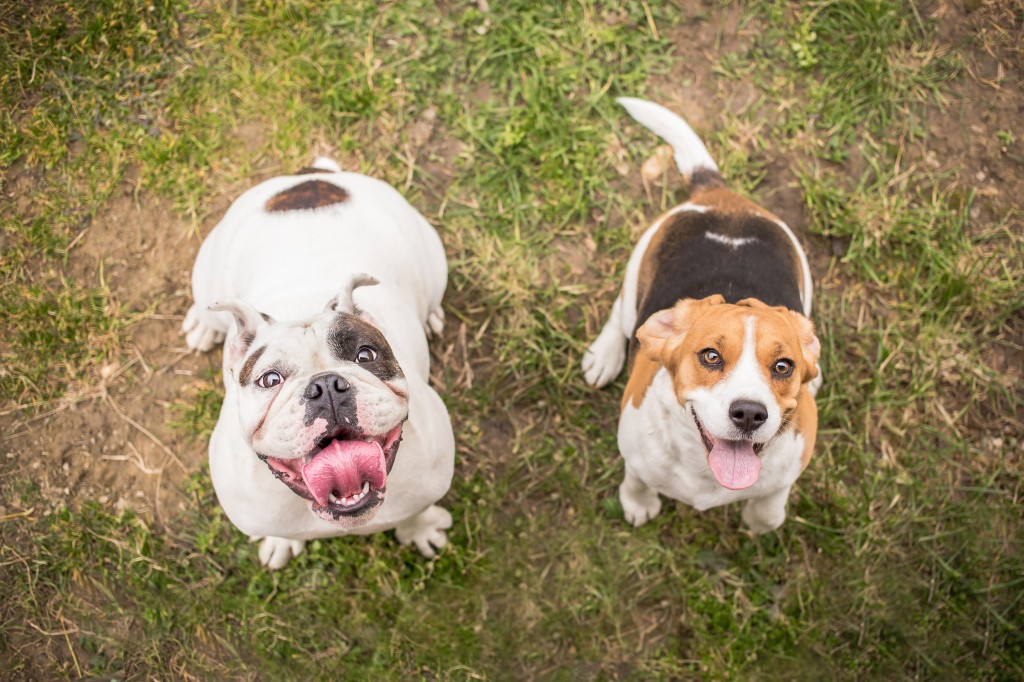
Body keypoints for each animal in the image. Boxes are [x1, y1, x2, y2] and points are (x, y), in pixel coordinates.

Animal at [185, 156, 456, 565]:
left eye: (366, 355)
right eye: (269, 379)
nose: (326, 385)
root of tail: (313, 176)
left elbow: (417, 511)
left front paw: (421, 531)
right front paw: (280, 543)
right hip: (206, 273)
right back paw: (202, 326)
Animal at [585, 96, 823, 532]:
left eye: (783, 366)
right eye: (710, 356)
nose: (750, 414)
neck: (706, 467)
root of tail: (722, 196)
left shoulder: (794, 459)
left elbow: (770, 507)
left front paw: (758, 519)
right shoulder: (633, 448)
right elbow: (637, 477)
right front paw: (638, 502)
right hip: (635, 279)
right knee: (619, 315)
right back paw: (604, 355)